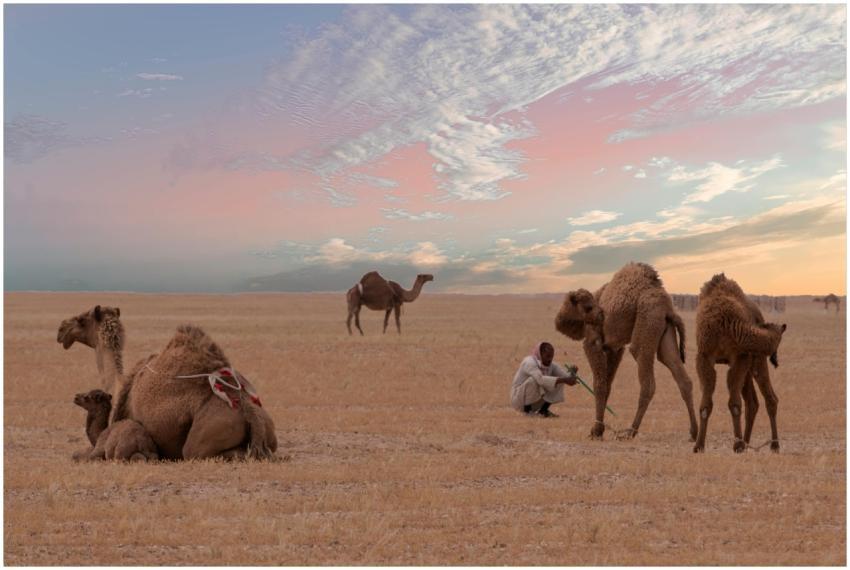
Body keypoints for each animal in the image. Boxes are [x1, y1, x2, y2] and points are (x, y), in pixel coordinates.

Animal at [58, 307, 278, 460]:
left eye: (81, 320)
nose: (61, 330)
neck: (120, 384)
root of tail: (251, 413)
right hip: (269, 433)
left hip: (202, 439)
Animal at [555, 262, 698, 441]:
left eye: (589, 307)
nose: (601, 316)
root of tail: (668, 308)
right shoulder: (614, 348)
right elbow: (607, 384)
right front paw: (599, 429)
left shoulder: (593, 342)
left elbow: (599, 385)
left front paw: (596, 431)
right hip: (665, 330)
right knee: (681, 376)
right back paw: (694, 432)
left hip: (647, 319)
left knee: (647, 379)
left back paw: (630, 431)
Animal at [693, 274, 787, 453]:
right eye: (779, 340)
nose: (775, 358)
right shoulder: (704, 356)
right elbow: (705, 405)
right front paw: (698, 446)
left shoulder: (739, 356)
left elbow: (734, 404)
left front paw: (736, 445)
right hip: (750, 364)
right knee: (753, 402)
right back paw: (746, 442)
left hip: (755, 360)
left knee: (770, 399)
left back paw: (773, 445)